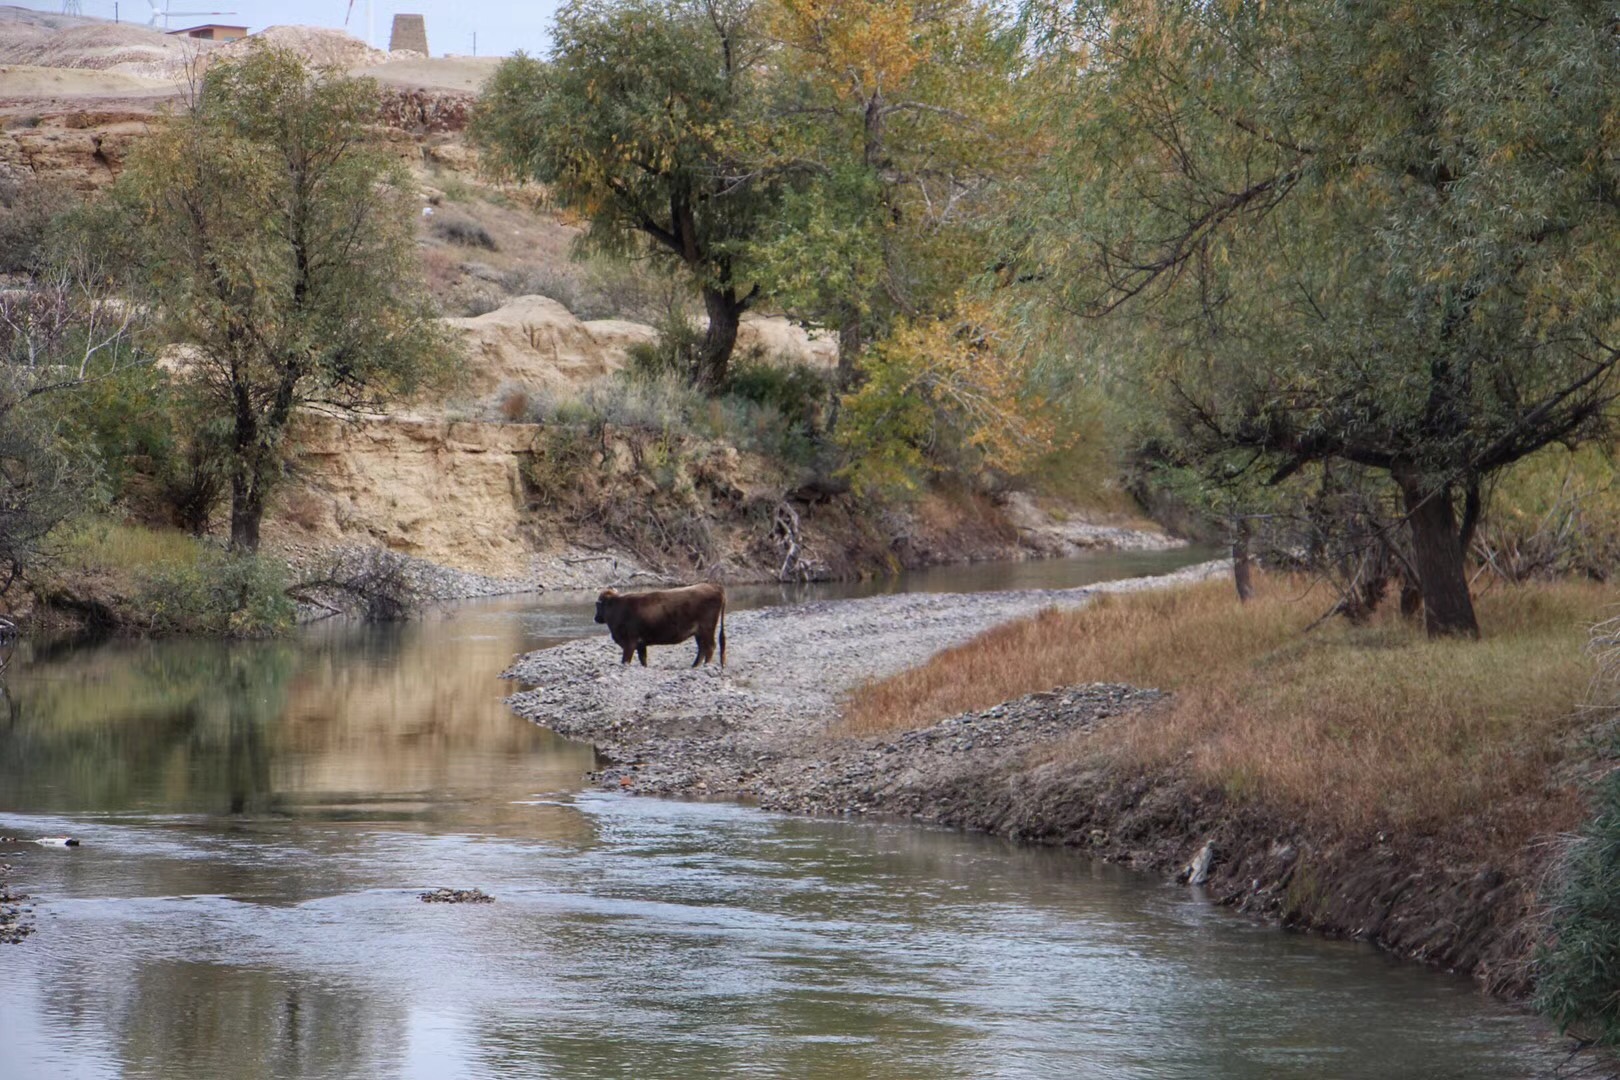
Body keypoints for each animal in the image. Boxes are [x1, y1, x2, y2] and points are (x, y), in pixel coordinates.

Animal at [596, 582, 729, 667]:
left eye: (597, 605)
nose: (596, 618)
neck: (617, 608)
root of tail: (715, 586)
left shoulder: (630, 642)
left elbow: (625, 660)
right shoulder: (640, 644)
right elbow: (643, 659)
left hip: (707, 628)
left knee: (710, 647)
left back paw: (706, 665)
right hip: (699, 632)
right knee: (702, 648)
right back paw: (695, 665)